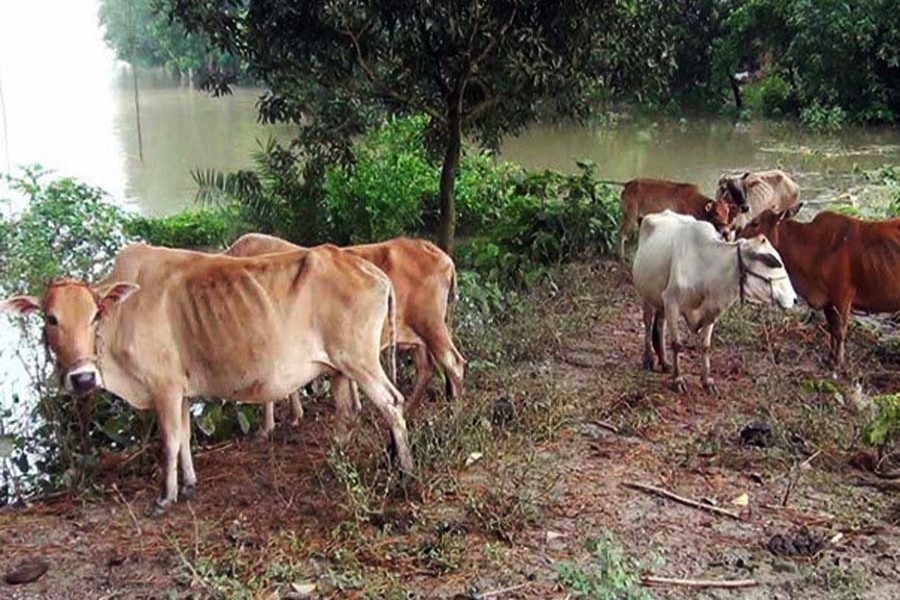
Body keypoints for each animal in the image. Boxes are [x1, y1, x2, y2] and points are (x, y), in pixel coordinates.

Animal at [0, 244, 413, 515]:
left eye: (94, 315)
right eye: (51, 318)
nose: (82, 378)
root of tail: (368, 268)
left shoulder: (164, 387)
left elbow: (168, 441)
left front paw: (165, 498)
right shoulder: (181, 391)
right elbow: (184, 437)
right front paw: (189, 484)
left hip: (359, 359)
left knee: (393, 403)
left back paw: (405, 471)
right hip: (340, 367)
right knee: (348, 412)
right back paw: (335, 463)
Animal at [224, 234, 466, 435]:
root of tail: (435, 250)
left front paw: (268, 427)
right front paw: (295, 415)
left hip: (431, 325)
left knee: (453, 363)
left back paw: (454, 417)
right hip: (418, 336)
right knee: (426, 368)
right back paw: (409, 412)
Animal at [614, 178, 747, 258]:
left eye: (727, 212)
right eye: (716, 213)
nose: (725, 231)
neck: (697, 204)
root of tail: (629, 183)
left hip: (636, 217)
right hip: (631, 216)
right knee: (621, 234)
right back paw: (621, 257)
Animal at [633, 210, 797, 393]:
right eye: (772, 262)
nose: (795, 299)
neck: (707, 267)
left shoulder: (710, 312)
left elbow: (705, 346)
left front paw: (706, 381)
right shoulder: (671, 301)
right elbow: (676, 344)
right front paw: (678, 379)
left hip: (660, 300)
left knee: (660, 326)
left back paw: (664, 362)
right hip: (646, 295)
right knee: (648, 323)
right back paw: (648, 359)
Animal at [739, 205, 900, 367]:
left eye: (755, 223)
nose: (737, 237)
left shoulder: (843, 296)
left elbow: (840, 331)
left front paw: (838, 362)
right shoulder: (828, 301)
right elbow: (831, 328)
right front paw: (830, 358)